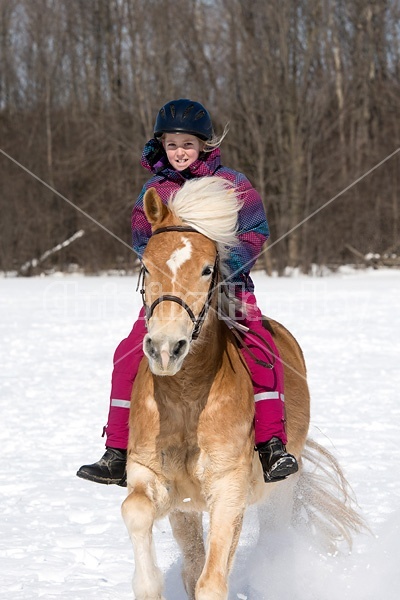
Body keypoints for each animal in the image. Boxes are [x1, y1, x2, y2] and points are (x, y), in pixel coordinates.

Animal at [121, 176, 360, 600]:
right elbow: (136, 514)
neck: (187, 400)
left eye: (206, 269)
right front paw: (148, 585)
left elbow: (212, 582)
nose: (166, 348)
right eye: (146, 266)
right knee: (191, 561)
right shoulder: (153, 478)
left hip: (280, 491)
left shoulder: (229, 491)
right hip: (186, 509)